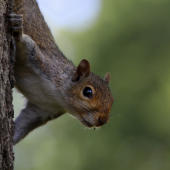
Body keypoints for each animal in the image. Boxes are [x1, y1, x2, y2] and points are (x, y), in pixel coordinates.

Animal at [8, 0, 114, 145]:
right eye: (87, 92)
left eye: (112, 99)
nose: (103, 120)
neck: (58, 97)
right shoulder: (44, 63)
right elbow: (27, 43)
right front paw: (19, 32)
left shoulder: (41, 110)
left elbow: (25, 122)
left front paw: (11, 139)